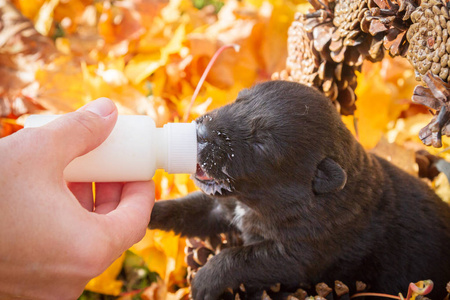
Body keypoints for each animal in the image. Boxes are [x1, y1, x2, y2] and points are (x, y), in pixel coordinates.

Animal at [149, 80, 450, 300]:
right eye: (239, 99)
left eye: (261, 142)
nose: (200, 135)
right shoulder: (222, 205)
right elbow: (186, 209)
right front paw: (150, 213)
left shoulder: (297, 256)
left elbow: (239, 258)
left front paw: (204, 281)